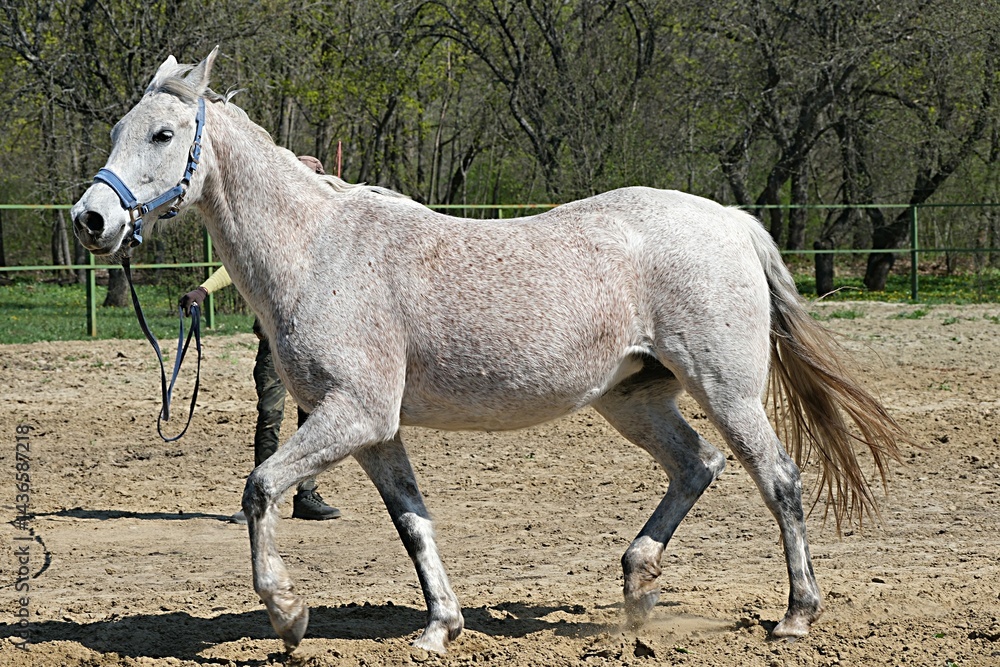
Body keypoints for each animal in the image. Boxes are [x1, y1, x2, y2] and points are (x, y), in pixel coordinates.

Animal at [71, 48, 905, 654]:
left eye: (162, 135)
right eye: (117, 131)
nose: (91, 219)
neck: (317, 251)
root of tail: (731, 220)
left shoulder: (352, 415)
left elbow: (260, 486)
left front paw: (287, 613)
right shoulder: (375, 431)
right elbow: (414, 523)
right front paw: (439, 626)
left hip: (726, 389)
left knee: (778, 478)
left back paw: (794, 614)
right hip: (634, 397)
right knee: (698, 464)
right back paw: (638, 588)